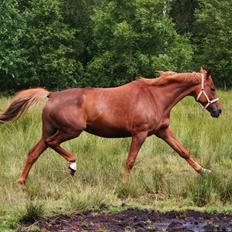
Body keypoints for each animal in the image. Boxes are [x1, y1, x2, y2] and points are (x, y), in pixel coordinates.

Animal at [0, 66, 221, 183]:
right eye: (212, 88)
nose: (218, 111)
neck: (155, 97)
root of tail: (51, 95)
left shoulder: (163, 131)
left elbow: (183, 151)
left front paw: (205, 172)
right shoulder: (140, 134)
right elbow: (130, 161)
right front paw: (124, 185)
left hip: (49, 131)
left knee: (34, 152)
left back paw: (21, 181)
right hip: (71, 130)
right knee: (52, 144)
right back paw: (72, 165)